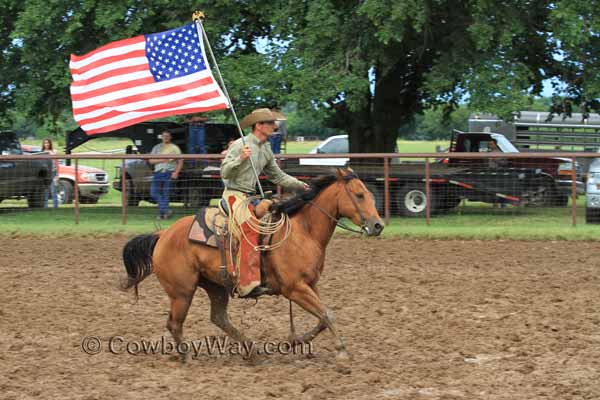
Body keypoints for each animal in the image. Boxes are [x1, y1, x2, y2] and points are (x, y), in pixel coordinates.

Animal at [122, 167, 384, 360]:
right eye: (359, 195)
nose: (378, 225)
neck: (303, 232)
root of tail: (163, 235)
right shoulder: (295, 289)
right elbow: (327, 314)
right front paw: (341, 351)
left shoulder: (310, 284)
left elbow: (322, 316)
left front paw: (297, 340)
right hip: (182, 292)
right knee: (174, 323)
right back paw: (187, 356)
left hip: (215, 286)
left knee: (218, 317)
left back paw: (252, 351)